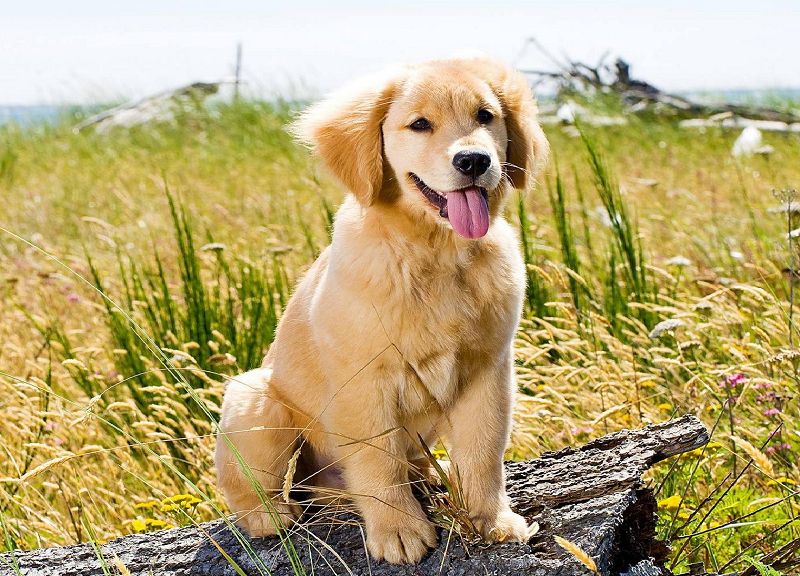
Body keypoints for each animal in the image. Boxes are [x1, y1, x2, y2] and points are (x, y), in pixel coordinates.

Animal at [216, 57, 548, 564]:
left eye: (485, 116)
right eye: (420, 124)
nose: (474, 160)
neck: (436, 253)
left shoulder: (489, 370)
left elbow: (482, 452)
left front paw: (490, 520)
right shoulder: (364, 381)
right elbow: (377, 460)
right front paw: (398, 530)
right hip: (256, 400)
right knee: (247, 484)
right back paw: (268, 516)